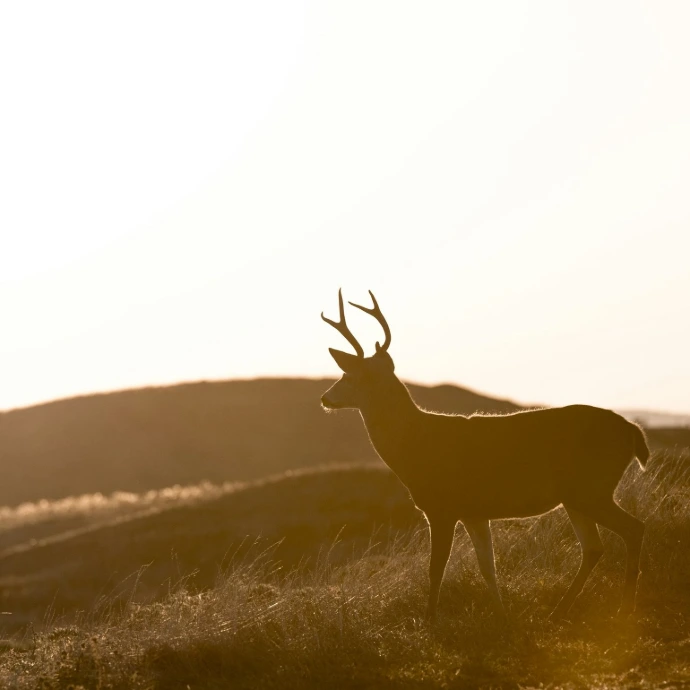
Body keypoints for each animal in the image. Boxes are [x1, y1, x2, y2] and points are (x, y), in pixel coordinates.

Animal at [320, 289, 649, 622]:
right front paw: (502, 616)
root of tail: (633, 431)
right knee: (594, 547)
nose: (325, 398)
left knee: (634, 529)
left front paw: (429, 621)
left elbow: (436, 569)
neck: (416, 444)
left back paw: (624, 609)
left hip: (592, 488)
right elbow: (487, 567)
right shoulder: (474, 513)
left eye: (348, 375)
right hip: (577, 496)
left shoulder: (442, 507)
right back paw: (559, 611)